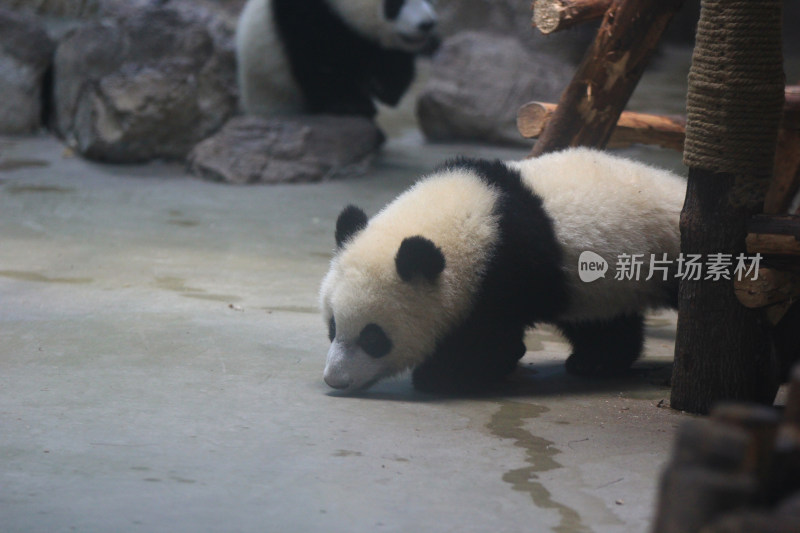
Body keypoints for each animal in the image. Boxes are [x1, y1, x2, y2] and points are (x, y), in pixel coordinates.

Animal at [234, 0, 440, 116]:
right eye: (394, 3)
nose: (427, 24)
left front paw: (384, 88)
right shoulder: (304, 17)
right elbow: (319, 64)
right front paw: (349, 104)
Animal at [318, 148, 688, 392]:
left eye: (373, 337)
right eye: (333, 327)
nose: (336, 379)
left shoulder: (509, 268)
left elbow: (491, 338)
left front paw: (442, 373)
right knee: (604, 322)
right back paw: (595, 361)